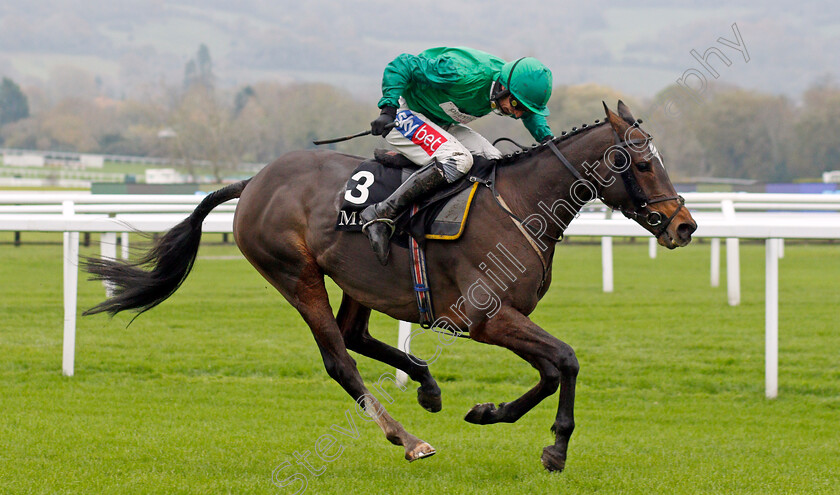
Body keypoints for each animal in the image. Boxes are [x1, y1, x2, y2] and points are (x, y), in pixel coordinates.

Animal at [85, 101, 696, 472]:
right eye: (642, 164)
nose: (684, 226)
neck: (521, 205)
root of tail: (254, 180)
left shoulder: (505, 318)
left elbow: (550, 372)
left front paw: (489, 412)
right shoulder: (485, 317)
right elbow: (566, 359)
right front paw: (557, 447)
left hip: (357, 277)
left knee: (356, 335)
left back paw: (426, 386)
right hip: (295, 274)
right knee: (339, 359)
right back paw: (408, 438)